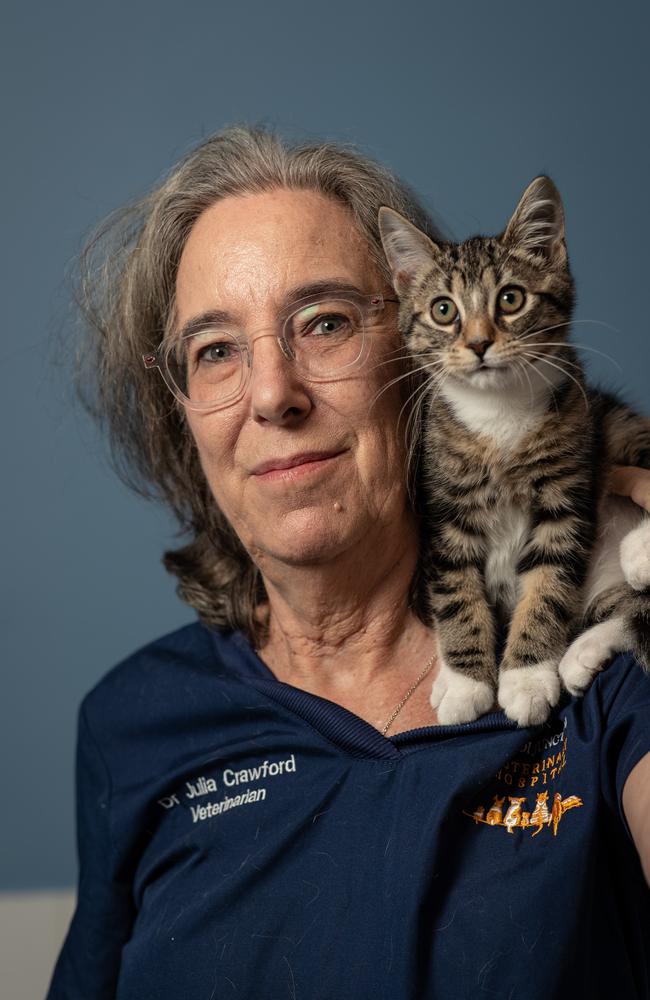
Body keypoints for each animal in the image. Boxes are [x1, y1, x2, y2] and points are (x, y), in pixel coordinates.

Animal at [374, 178, 648, 728]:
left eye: (511, 298)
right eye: (443, 310)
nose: (480, 343)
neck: (498, 414)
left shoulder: (566, 491)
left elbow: (548, 584)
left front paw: (525, 678)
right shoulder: (444, 506)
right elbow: (456, 589)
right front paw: (464, 682)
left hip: (611, 423)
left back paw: (639, 551)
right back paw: (582, 654)